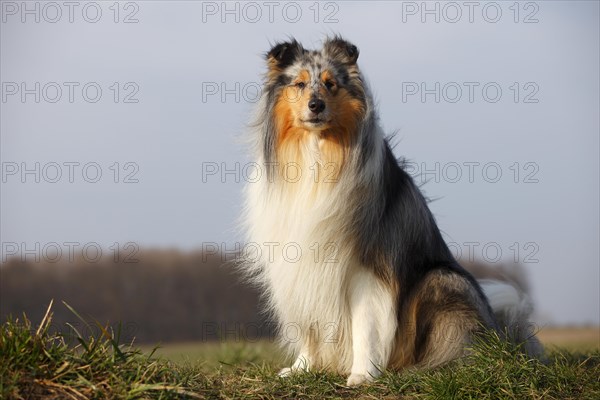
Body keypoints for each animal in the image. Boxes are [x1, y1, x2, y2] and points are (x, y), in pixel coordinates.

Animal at [240, 36, 544, 386]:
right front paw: (302, 368)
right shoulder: (298, 262)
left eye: (330, 84)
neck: (317, 156)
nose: (316, 105)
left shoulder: (368, 265)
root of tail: (502, 338)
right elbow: (310, 324)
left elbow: (366, 325)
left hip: (442, 279)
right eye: (300, 84)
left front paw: (362, 374)